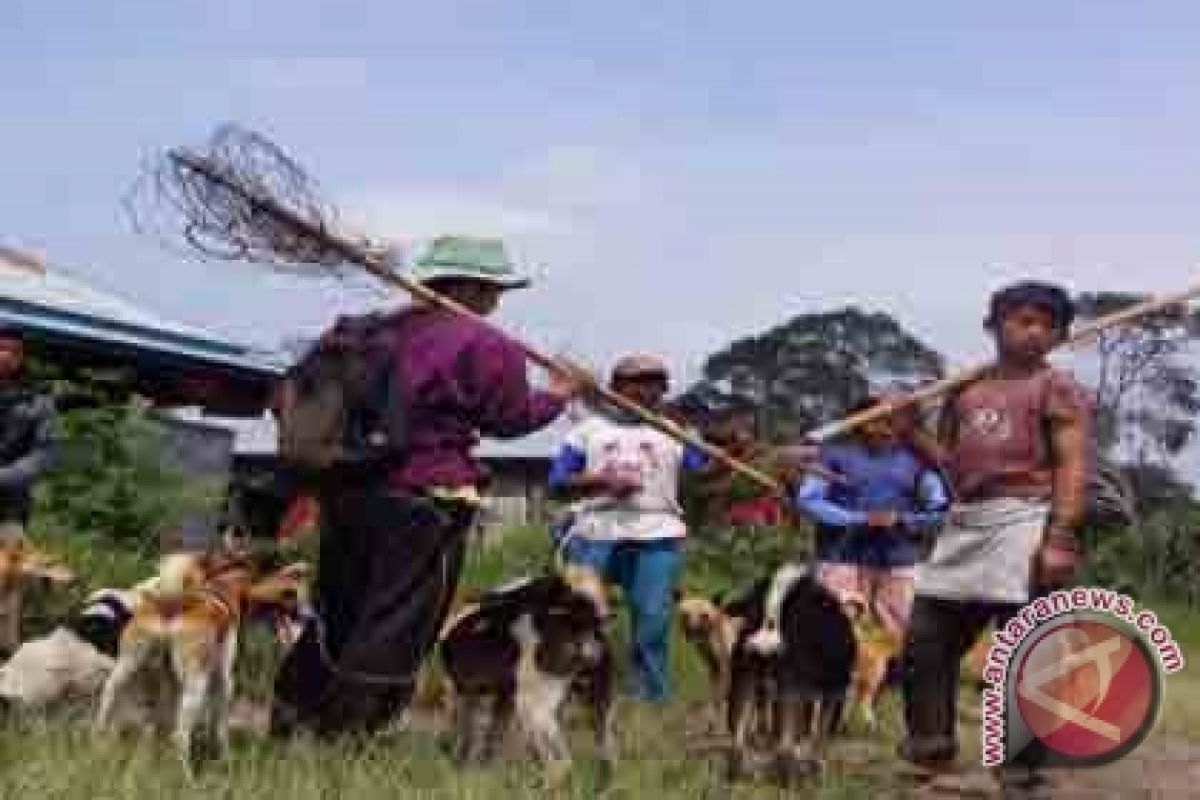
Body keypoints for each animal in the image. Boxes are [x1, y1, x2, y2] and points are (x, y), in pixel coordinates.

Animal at [94, 551, 309, 777]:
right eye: (291, 593)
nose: (305, 616)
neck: (224, 587)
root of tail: (172, 607)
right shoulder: (224, 679)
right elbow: (219, 727)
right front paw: (224, 758)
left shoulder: (169, 681)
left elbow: (157, 723)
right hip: (197, 683)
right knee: (180, 735)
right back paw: (187, 776)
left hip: (127, 668)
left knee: (108, 703)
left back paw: (101, 747)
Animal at [436, 566, 614, 791]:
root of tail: (581, 622)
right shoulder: (501, 698)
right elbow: (490, 737)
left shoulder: (470, 695)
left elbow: (474, 736)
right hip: (592, 708)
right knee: (603, 754)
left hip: (532, 709)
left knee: (561, 763)